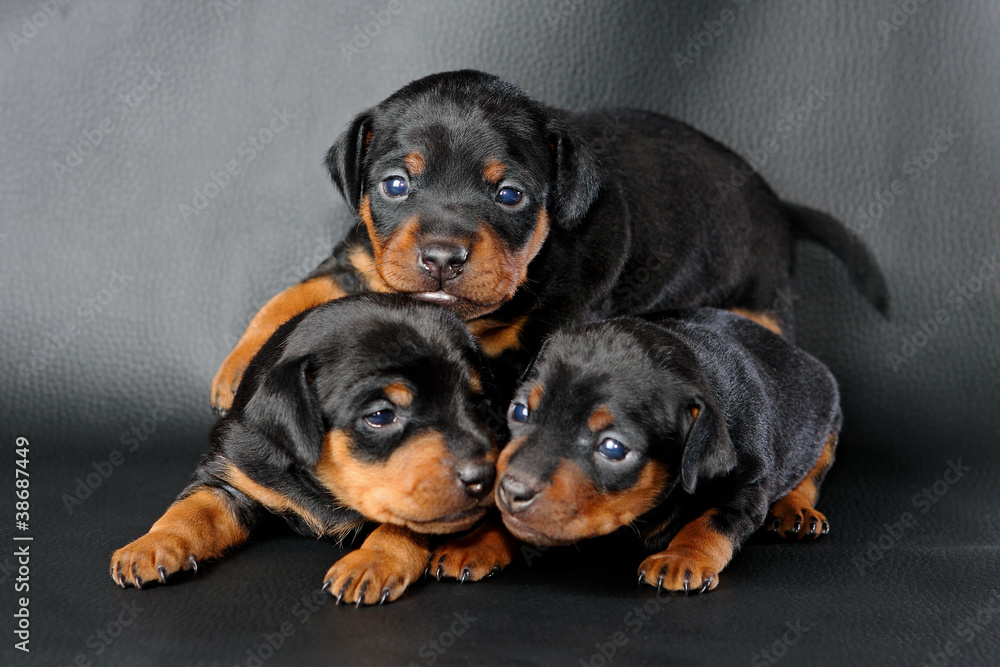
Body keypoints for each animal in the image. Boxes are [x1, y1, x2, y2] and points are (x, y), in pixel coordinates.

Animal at [111, 292, 498, 604]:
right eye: (381, 415)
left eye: (479, 407)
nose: (483, 477)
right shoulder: (233, 476)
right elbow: (191, 510)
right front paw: (151, 546)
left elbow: (403, 523)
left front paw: (371, 562)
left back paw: (472, 552)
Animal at [209, 68, 884, 412]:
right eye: (396, 184)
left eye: (510, 195)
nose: (442, 257)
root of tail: (777, 204)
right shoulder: (357, 261)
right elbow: (287, 298)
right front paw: (237, 368)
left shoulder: (545, 329)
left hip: (761, 299)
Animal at [496, 310, 840, 596]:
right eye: (520, 411)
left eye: (613, 448)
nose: (512, 491)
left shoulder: (747, 489)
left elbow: (711, 521)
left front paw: (680, 556)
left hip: (828, 421)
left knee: (813, 471)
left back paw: (796, 509)